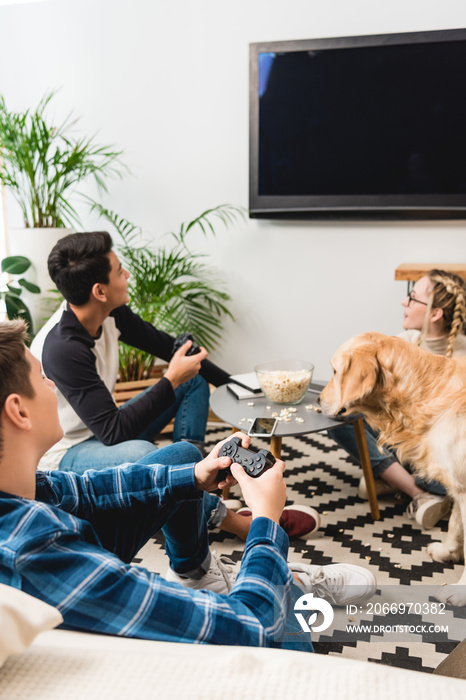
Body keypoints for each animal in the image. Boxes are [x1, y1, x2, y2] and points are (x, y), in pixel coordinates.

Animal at [320, 330, 466, 604]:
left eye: (335, 371)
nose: (318, 399)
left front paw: (460, 592)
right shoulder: (459, 484)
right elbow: (454, 524)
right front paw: (446, 552)